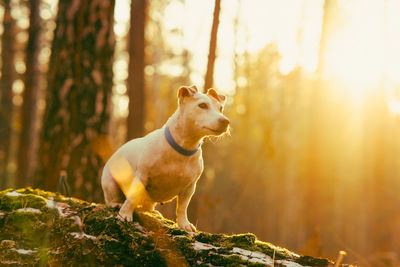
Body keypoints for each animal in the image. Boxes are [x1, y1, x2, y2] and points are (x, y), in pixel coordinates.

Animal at [101, 85, 230, 232]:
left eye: (221, 108)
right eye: (202, 105)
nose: (225, 121)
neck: (183, 147)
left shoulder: (189, 187)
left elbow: (182, 208)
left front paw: (184, 224)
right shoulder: (142, 176)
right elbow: (132, 197)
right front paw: (125, 214)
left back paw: (152, 211)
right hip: (110, 184)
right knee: (112, 199)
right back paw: (117, 204)